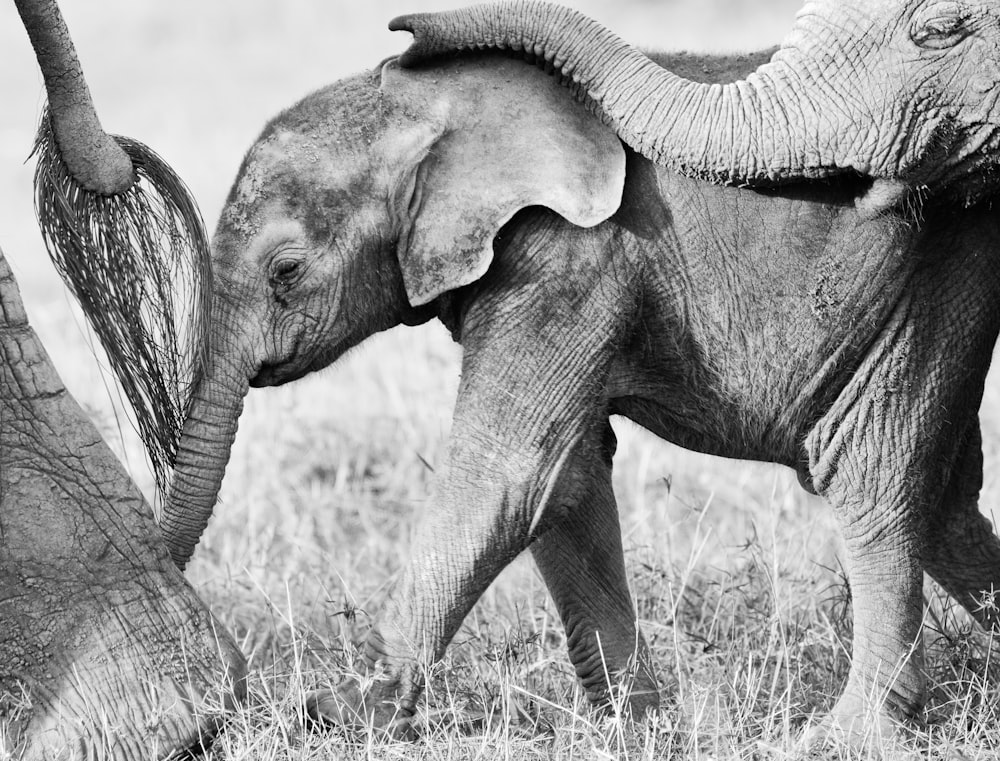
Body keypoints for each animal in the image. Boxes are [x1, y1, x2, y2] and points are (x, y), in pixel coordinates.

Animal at [160, 52, 1000, 744]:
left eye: (287, 270)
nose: (228, 697)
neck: (424, 102)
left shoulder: (563, 257)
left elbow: (508, 473)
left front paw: (345, 712)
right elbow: (568, 479)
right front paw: (634, 724)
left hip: (925, 284)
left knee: (872, 480)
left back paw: (854, 735)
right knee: (948, 508)